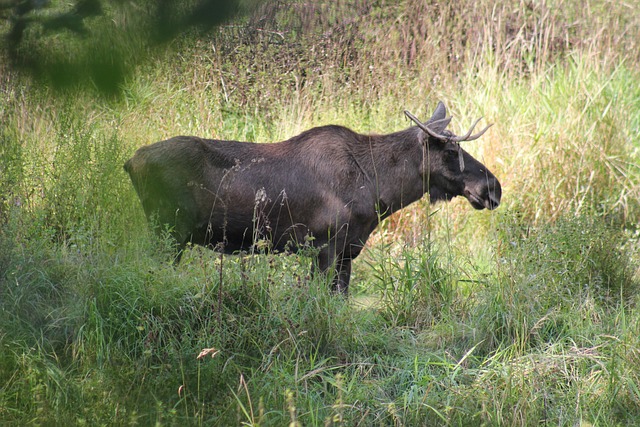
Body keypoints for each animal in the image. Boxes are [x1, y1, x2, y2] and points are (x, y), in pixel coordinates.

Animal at [121, 101, 500, 294]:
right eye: (451, 152)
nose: (492, 188)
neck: (379, 191)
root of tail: (130, 162)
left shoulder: (348, 249)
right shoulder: (324, 245)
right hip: (168, 233)